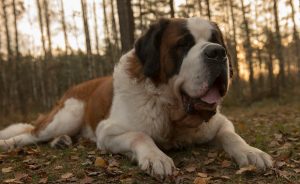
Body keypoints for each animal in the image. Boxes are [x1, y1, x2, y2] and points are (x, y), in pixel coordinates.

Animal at [0, 17, 272, 177]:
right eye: (183, 45)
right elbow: (140, 135)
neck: (172, 112)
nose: (217, 53)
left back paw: (62, 142)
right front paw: (157, 158)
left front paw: (252, 152)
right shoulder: (107, 132)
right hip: (67, 115)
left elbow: (231, 135)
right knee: (29, 134)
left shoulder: (219, 122)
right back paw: (10, 144)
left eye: (217, 42)